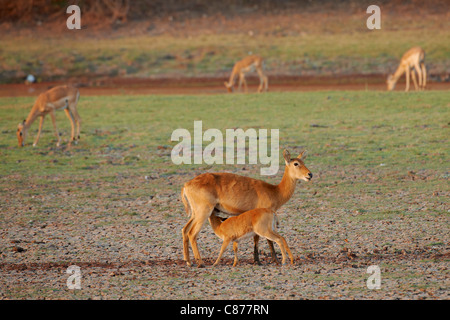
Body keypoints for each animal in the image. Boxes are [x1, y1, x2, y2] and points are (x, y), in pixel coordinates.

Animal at [181, 150, 312, 268]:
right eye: (296, 163)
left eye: (303, 161)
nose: (310, 174)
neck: (275, 191)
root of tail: (186, 184)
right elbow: (265, 239)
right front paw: (274, 260)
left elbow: (257, 238)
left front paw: (257, 260)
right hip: (203, 212)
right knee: (192, 233)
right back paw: (200, 263)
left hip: (195, 213)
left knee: (185, 230)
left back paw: (189, 262)